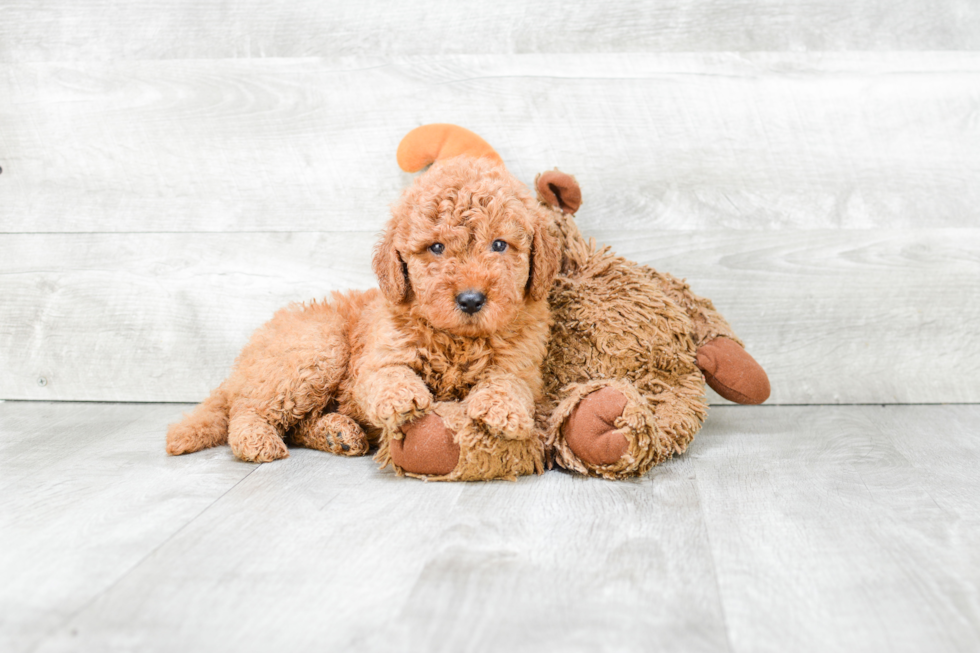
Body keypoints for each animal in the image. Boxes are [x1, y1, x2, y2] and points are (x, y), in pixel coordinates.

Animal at [165, 134, 556, 478]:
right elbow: (387, 374)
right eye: (436, 248)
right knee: (247, 408)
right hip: (316, 349)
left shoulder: (522, 365)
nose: (471, 299)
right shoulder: (376, 357)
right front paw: (402, 397)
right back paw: (257, 439)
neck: (457, 339)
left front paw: (503, 411)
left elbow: (509, 383)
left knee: (295, 424)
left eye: (500, 245)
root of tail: (241, 367)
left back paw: (336, 433)